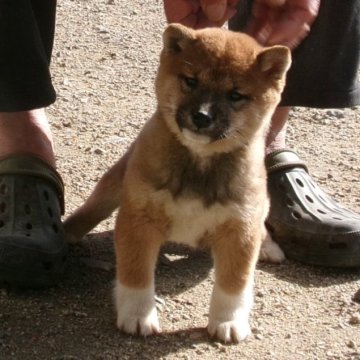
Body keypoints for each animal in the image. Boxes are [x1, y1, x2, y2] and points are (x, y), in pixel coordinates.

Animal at [64, 23, 290, 344]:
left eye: (235, 95)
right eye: (191, 81)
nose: (202, 116)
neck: (199, 162)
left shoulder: (240, 228)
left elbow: (234, 283)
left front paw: (228, 320)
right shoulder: (138, 219)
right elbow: (135, 273)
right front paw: (138, 315)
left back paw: (268, 245)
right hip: (112, 187)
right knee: (92, 208)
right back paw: (66, 232)